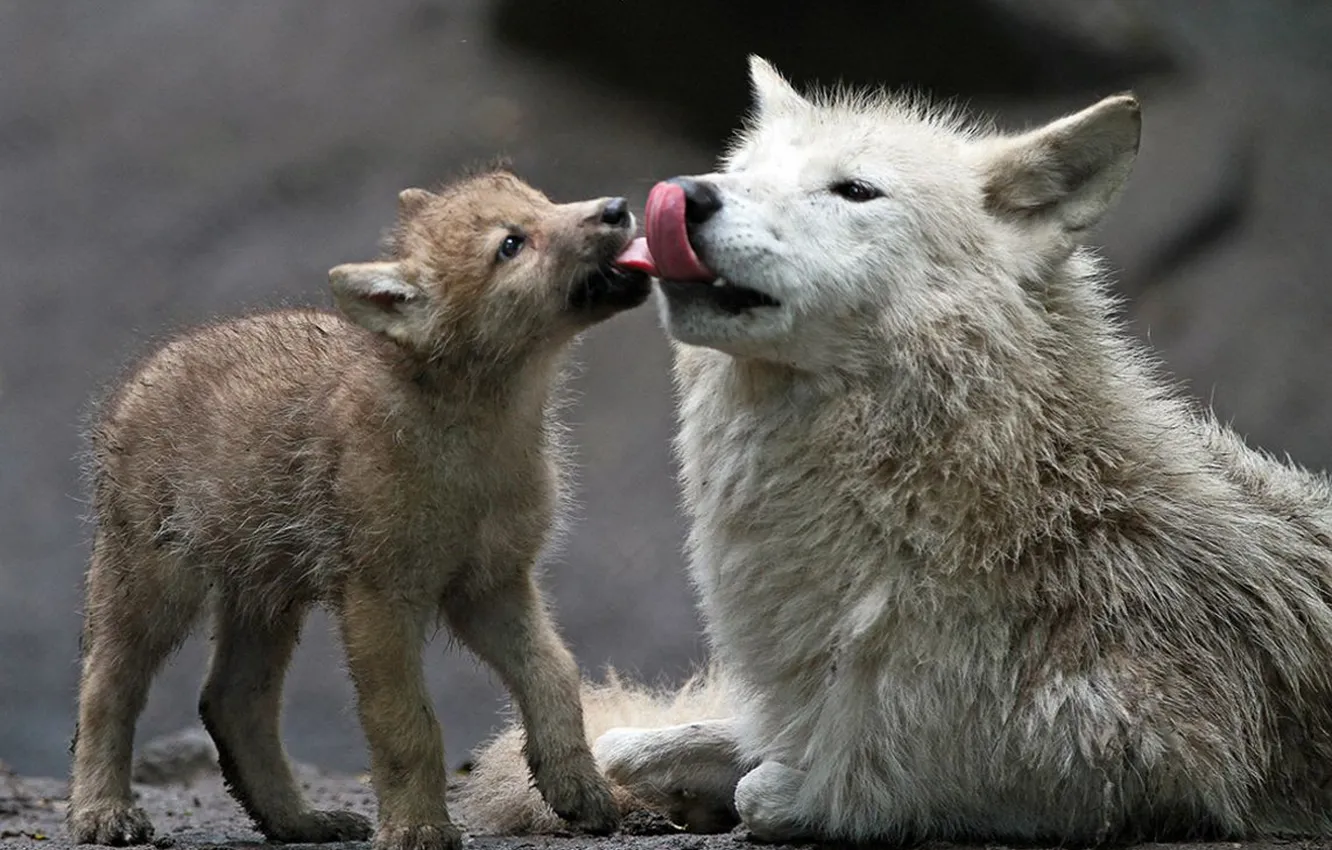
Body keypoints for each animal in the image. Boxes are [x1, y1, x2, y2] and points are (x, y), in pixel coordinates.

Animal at [68, 170, 648, 850]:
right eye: (511, 244)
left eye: (544, 200)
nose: (617, 208)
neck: (482, 437)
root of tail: (142, 375)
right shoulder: (381, 598)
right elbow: (407, 724)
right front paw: (418, 828)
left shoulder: (491, 586)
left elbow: (555, 674)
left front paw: (579, 790)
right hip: (154, 583)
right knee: (105, 687)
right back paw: (102, 813)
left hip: (265, 591)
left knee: (231, 701)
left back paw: (299, 820)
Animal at [460, 58, 1332, 844]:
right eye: (741, 174)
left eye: (854, 191)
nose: (691, 193)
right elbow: (643, 742)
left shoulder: (1137, 754)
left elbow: (807, 785)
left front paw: (781, 794)